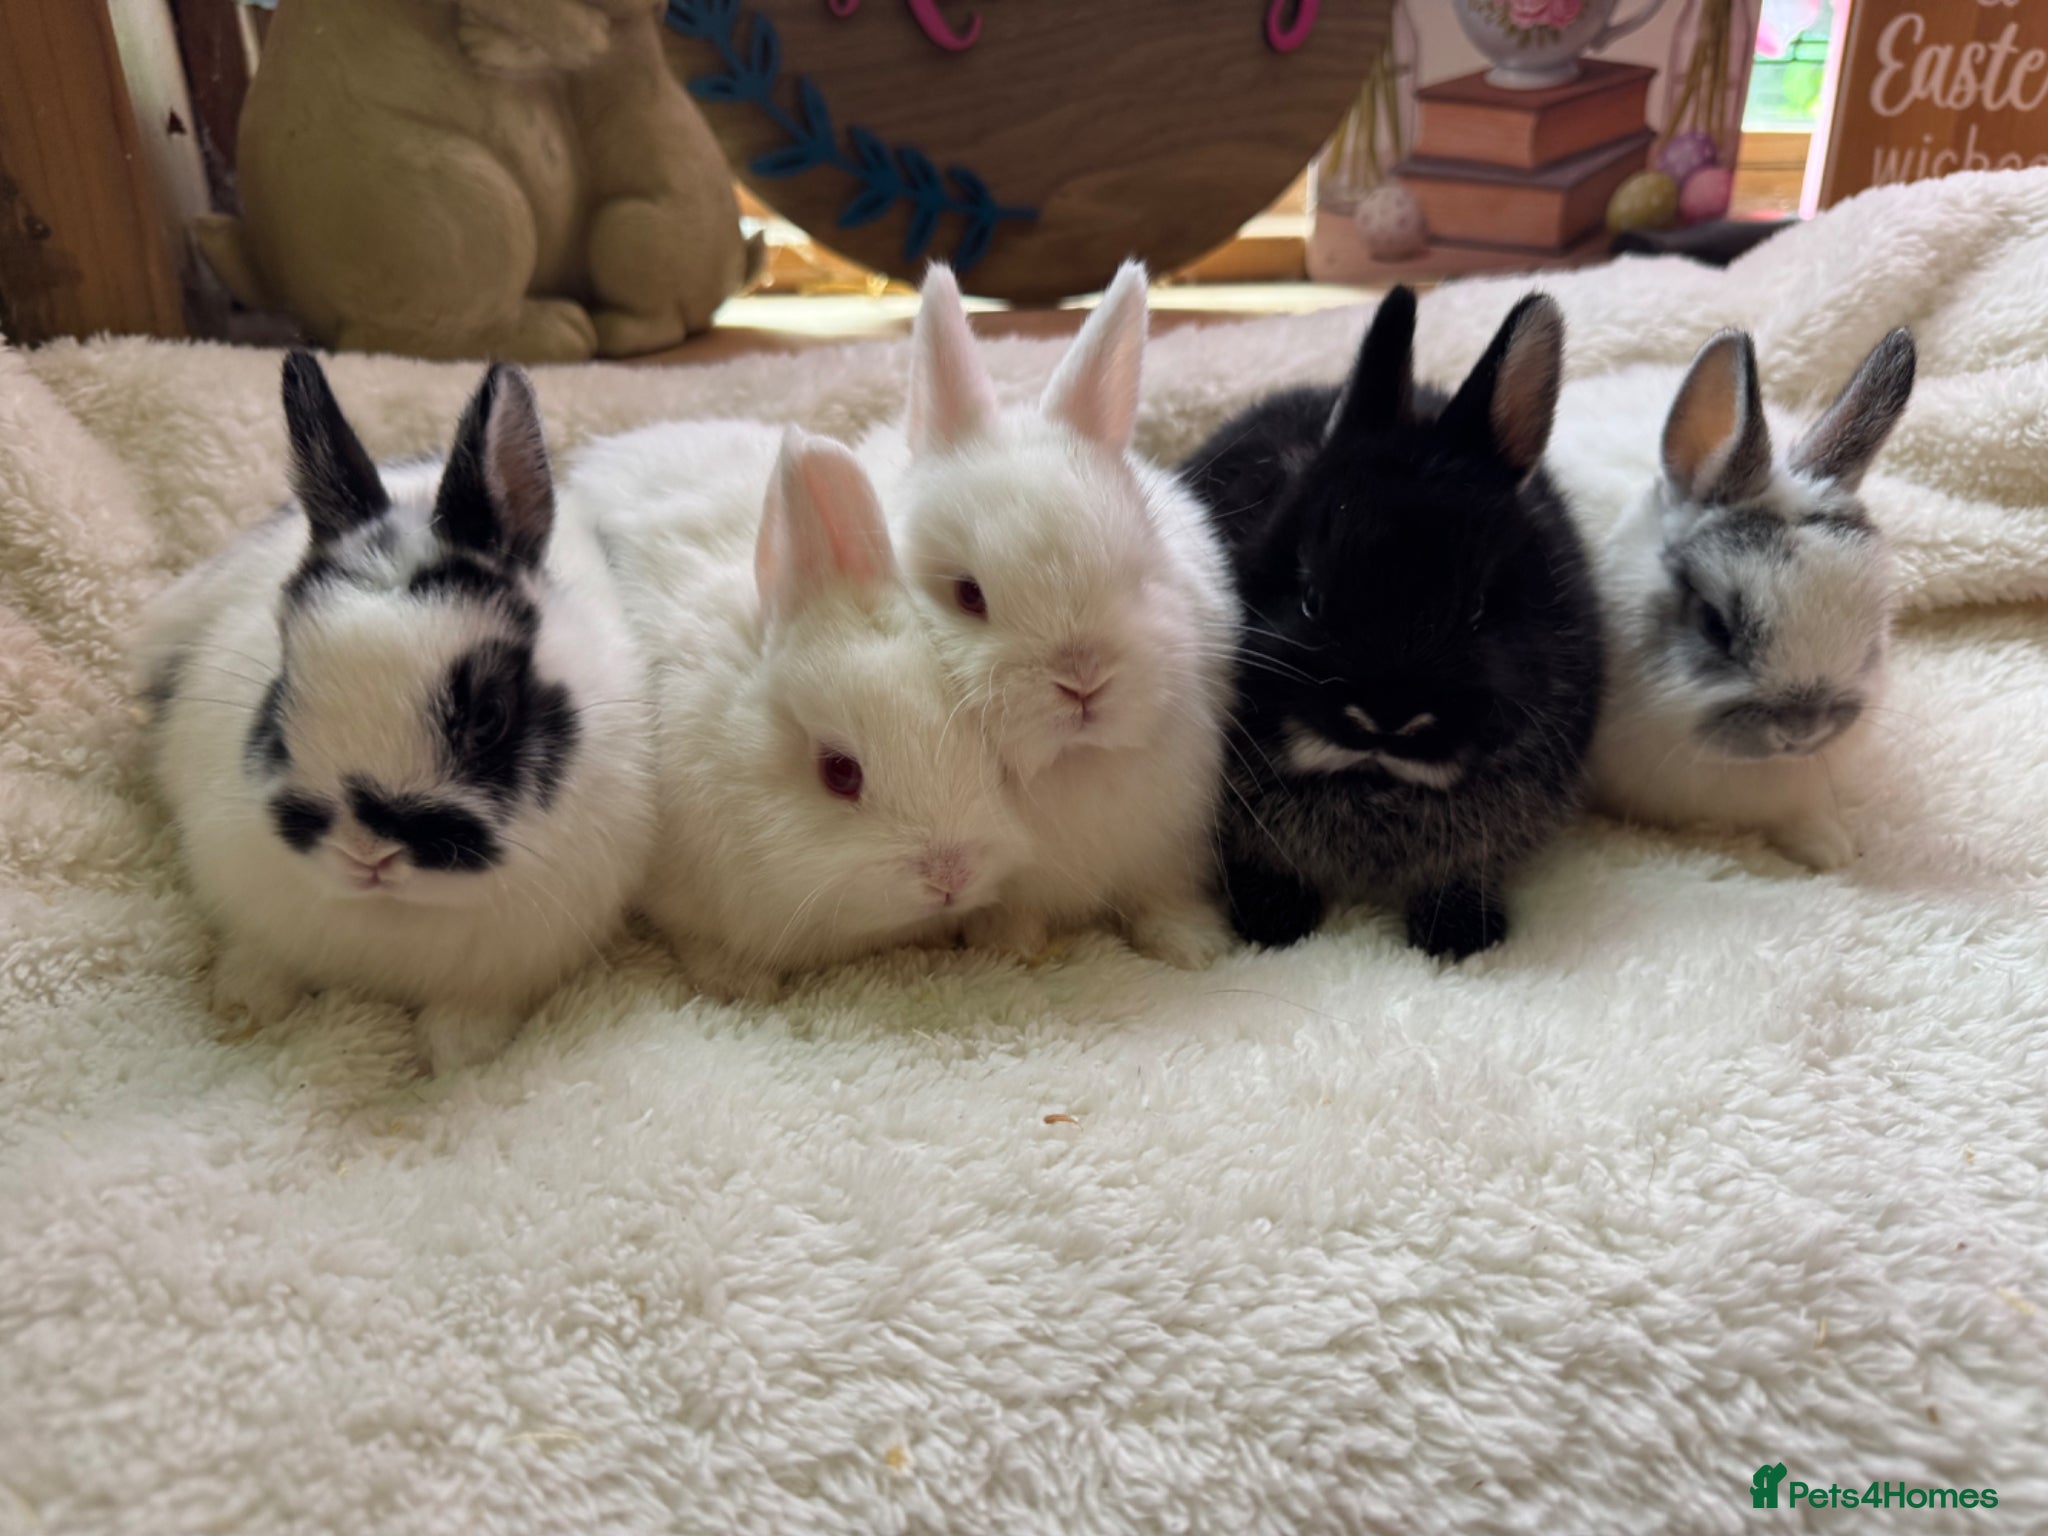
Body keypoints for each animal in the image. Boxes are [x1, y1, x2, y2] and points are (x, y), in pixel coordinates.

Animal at [135, 353, 656, 1072]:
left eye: (489, 716)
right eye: (282, 690)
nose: (368, 852)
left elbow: (470, 1018)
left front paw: (460, 1054)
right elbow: (260, 961)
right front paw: (243, 1010)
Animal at [856, 261, 1238, 969]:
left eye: (1138, 576)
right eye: (968, 595)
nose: (1083, 681)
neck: (1071, 762)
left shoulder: (1168, 846)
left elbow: (1162, 897)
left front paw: (1193, 947)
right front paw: (1015, 947)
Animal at [1178, 286, 1604, 959]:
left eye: (1479, 608)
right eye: (1311, 597)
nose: (1387, 715)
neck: (1373, 781)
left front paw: (1459, 937)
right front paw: (1275, 923)